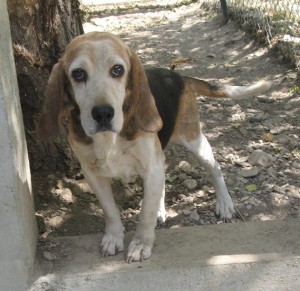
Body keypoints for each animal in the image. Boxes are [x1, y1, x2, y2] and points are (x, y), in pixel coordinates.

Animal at [37, 31, 272, 262]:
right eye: (78, 74)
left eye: (117, 70)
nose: (103, 113)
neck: (109, 139)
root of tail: (178, 76)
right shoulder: (92, 172)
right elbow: (110, 210)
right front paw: (113, 237)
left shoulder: (151, 165)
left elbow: (145, 214)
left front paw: (141, 244)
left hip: (194, 141)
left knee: (214, 168)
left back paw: (224, 203)